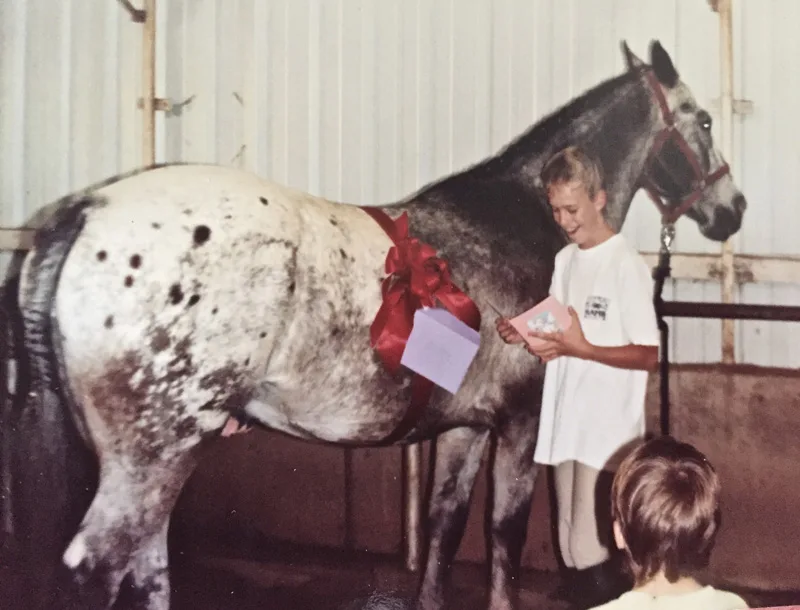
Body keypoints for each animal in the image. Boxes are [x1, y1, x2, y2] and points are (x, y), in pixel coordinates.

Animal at [3, 41, 748, 608]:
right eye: (705, 120)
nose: (732, 210)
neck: (522, 219)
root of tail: (87, 212)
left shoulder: (463, 429)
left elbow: (445, 528)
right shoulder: (517, 423)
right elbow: (503, 534)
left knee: (147, 564)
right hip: (152, 454)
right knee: (102, 567)